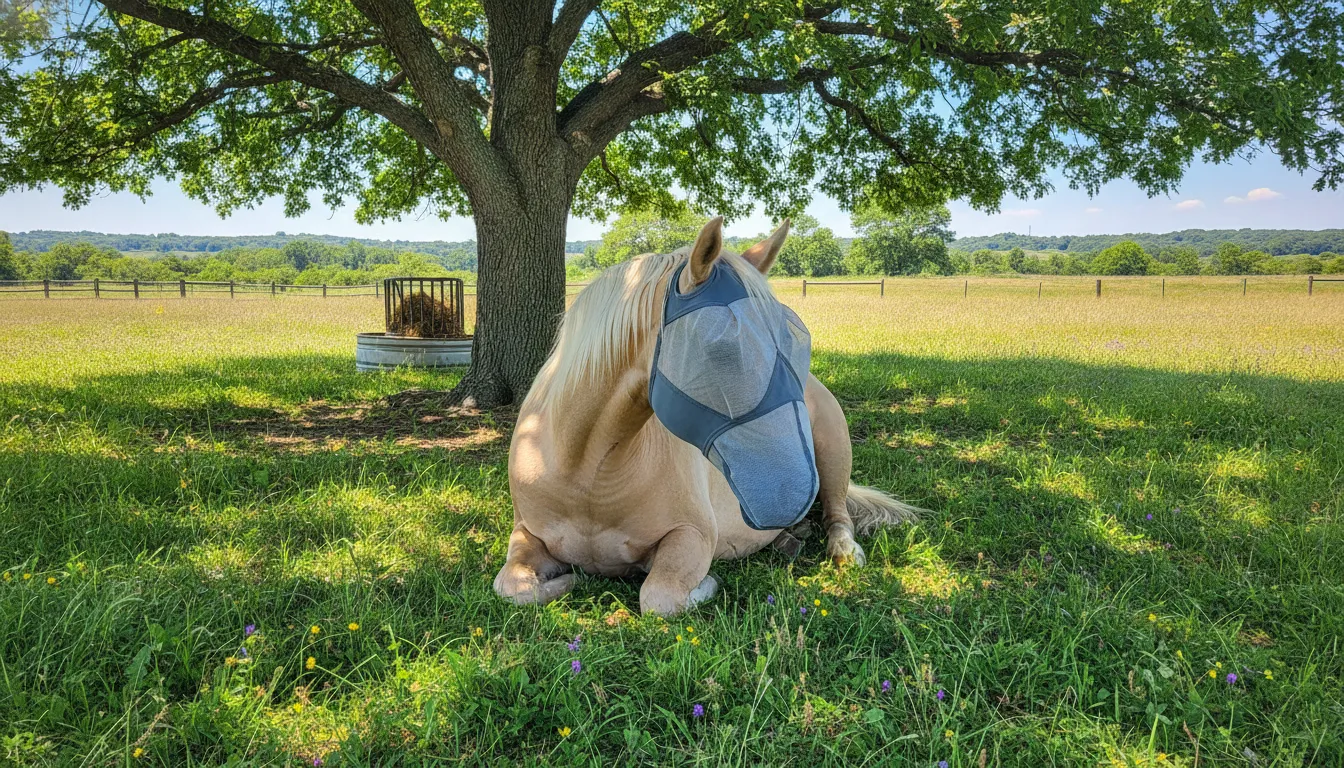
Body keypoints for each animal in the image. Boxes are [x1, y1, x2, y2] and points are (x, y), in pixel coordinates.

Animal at [494, 216, 924, 615]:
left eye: (797, 338)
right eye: (722, 349)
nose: (794, 492)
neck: (585, 471)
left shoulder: (692, 536)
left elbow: (659, 596)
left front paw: (705, 585)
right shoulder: (525, 533)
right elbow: (512, 588)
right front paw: (567, 580)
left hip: (834, 455)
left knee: (838, 515)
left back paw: (843, 550)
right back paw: (789, 535)